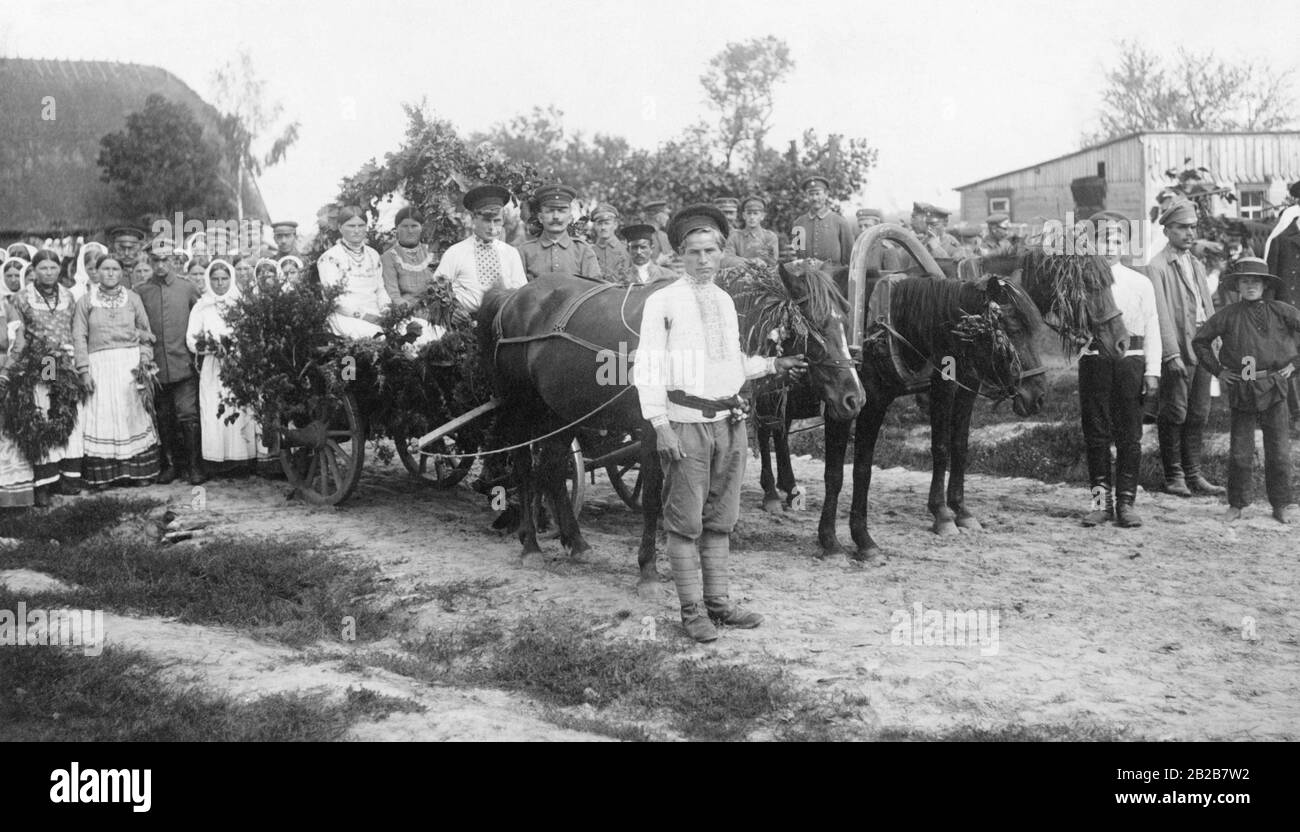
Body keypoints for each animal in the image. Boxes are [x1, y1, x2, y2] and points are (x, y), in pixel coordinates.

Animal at [478, 258, 863, 592]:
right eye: (814, 325)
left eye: (844, 321)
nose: (854, 398)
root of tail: (514, 297)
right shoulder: (653, 432)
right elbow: (653, 497)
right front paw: (648, 569)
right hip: (519, 406)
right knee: (525, 468)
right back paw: (531, 545)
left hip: (563, 411)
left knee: (553, 469)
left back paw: (576, 542)